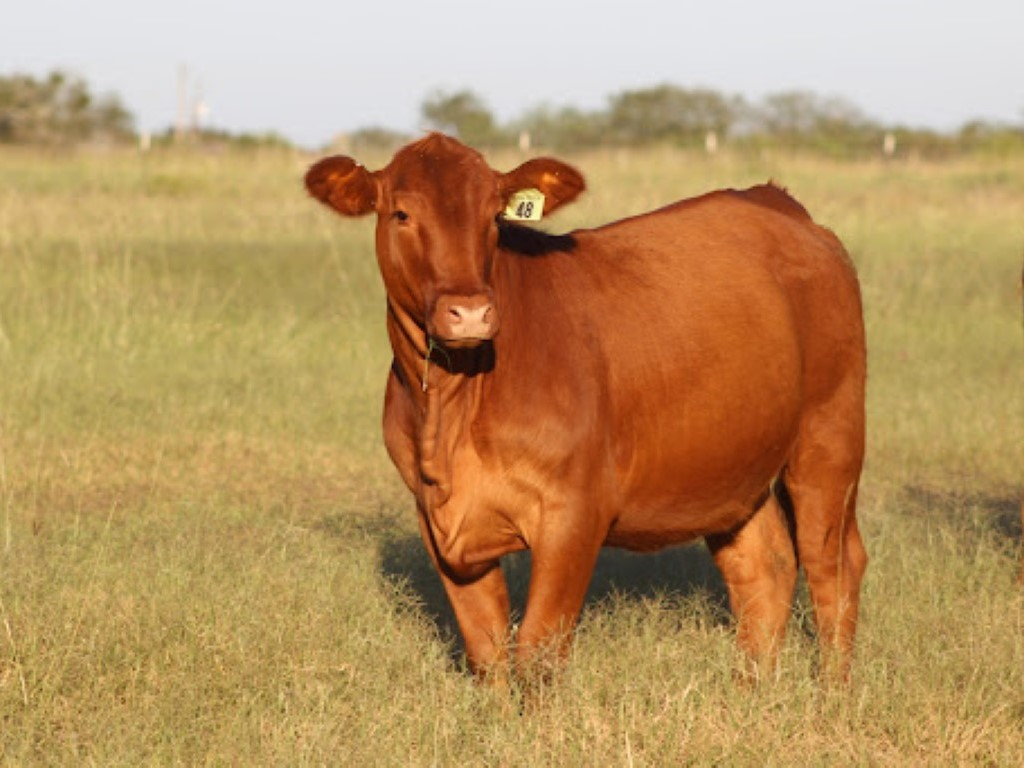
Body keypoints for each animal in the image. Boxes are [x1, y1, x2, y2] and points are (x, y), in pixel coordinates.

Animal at [305, 133, 868, 681]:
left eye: (493, 216)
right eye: (401, 214)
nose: (470, 311)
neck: (452, 408)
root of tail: (775, 201)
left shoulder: (574, 513)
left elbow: (538, 650)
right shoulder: (437, 522)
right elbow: (487, 651)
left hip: (830, 437)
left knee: (834, 565)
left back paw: (831, 696)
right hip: (733, 465)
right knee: (765, 566)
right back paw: (753, 694)